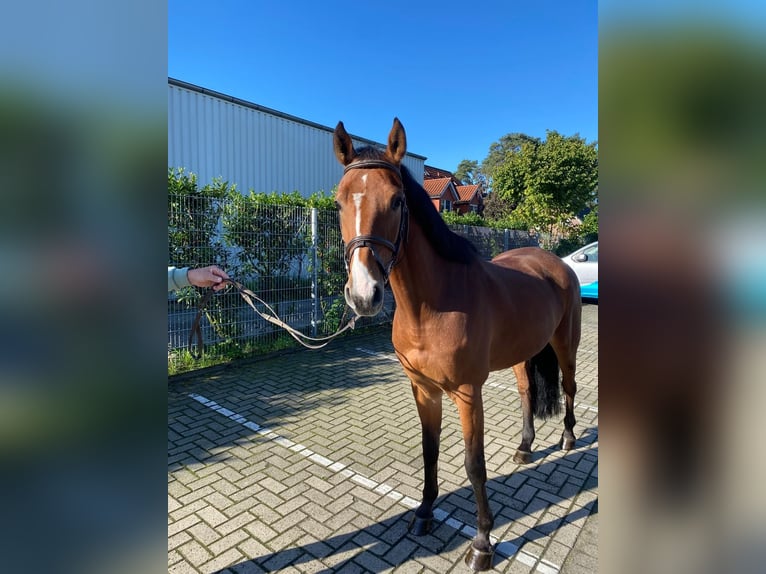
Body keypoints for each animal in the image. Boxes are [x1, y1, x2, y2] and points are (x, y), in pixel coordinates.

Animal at [332, 118, 584, 572]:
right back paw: (524, 447)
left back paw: (569, 439)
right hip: (523, 354)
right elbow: (429, 451)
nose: (363, 295)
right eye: (339, 203)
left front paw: (482, 543)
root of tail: (556, 262)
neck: (432, 305)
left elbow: (474, 464)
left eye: (397, 201)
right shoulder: (423, 390)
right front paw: (424, 512)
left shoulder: (468, 393)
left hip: (565, 344)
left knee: (570, 388)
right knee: (526, 392)